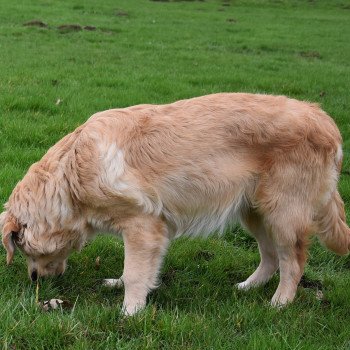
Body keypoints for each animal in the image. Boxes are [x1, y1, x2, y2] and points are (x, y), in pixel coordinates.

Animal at [1, 92, 348, 314]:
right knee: (271, 258)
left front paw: (129, 311)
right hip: (255, 213)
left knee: (293, 264)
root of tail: (324, 118)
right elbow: (135, 270)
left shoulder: (143, 226)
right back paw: (247, 288)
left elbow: (136, 272)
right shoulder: (146, 233)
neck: (70, 173)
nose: (34, 280)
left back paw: (279, 303)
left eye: (23, 248)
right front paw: (120, 285)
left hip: (283, 216)